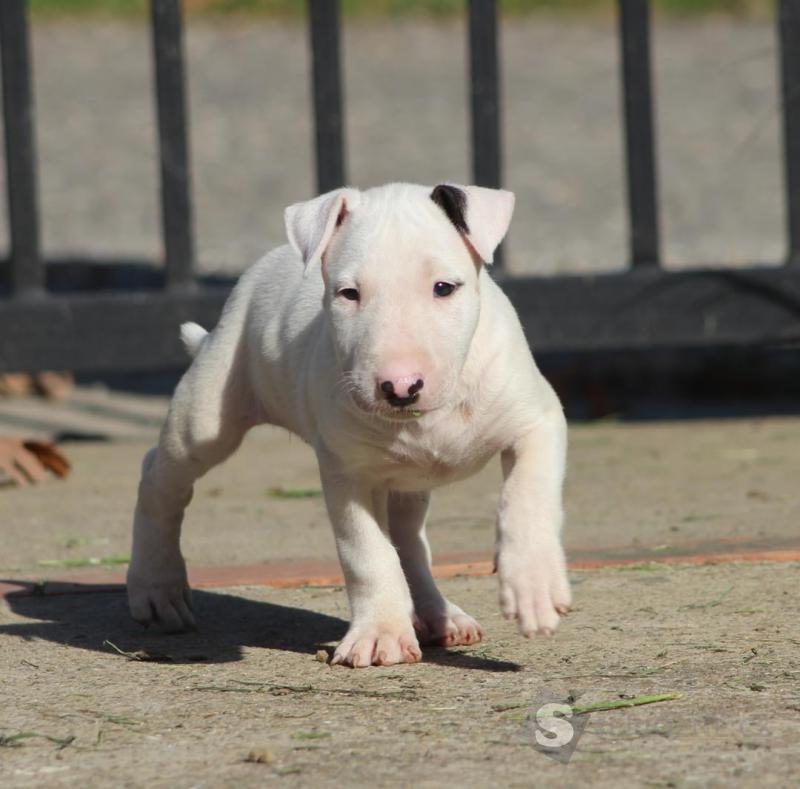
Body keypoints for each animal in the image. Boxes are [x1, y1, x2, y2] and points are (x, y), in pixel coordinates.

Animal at [127, 182, 571, 667]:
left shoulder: (538, 421)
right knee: (159, 477)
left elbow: (525, 498)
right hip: (207, 415)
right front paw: (379, 634)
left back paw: (440, 616)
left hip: (408, 483)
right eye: (349, 294)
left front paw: (533, 589)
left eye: (443, 287)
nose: (400, 387)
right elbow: (367, 551)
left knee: (409, 539)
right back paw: (157, 587)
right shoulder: (348, 472)